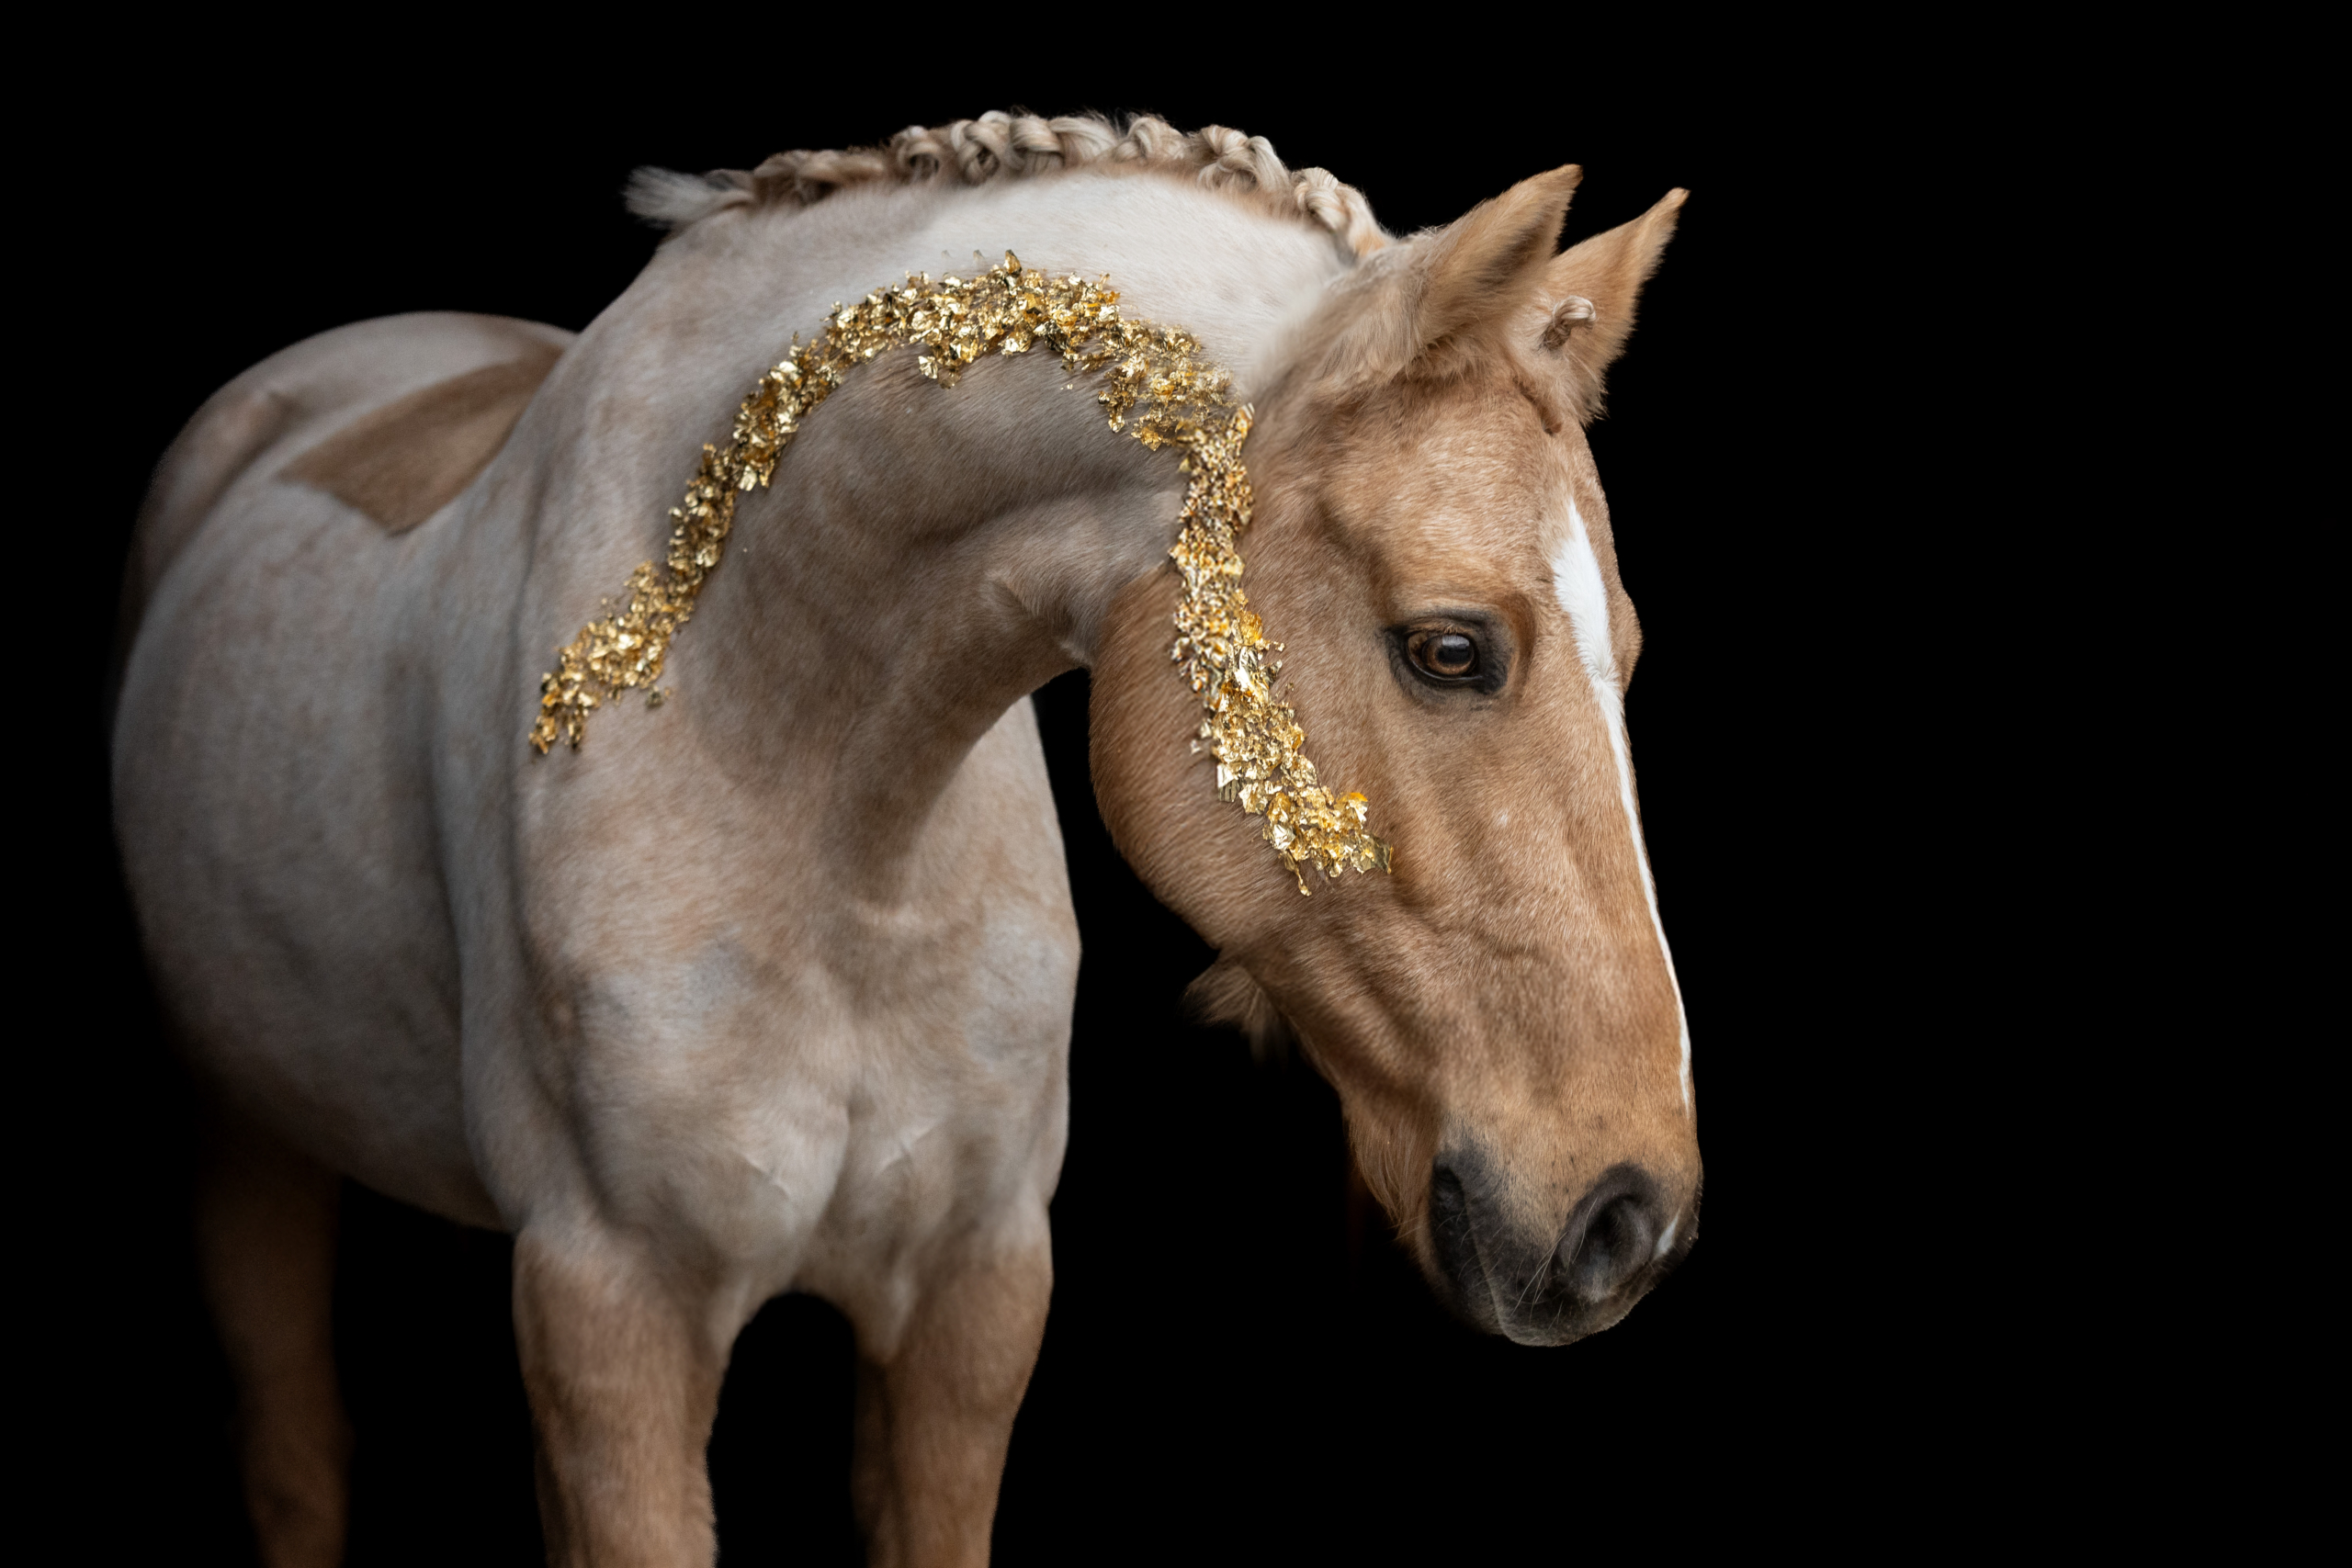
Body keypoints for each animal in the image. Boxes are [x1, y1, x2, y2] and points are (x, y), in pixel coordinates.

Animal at [112, 110, 1699, 1567]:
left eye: (1625, 651)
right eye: (1451, 648)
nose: (1633, 1215)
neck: (817, 816)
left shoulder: (972, 1292)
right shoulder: (608, 1317)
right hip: (239, 1134)